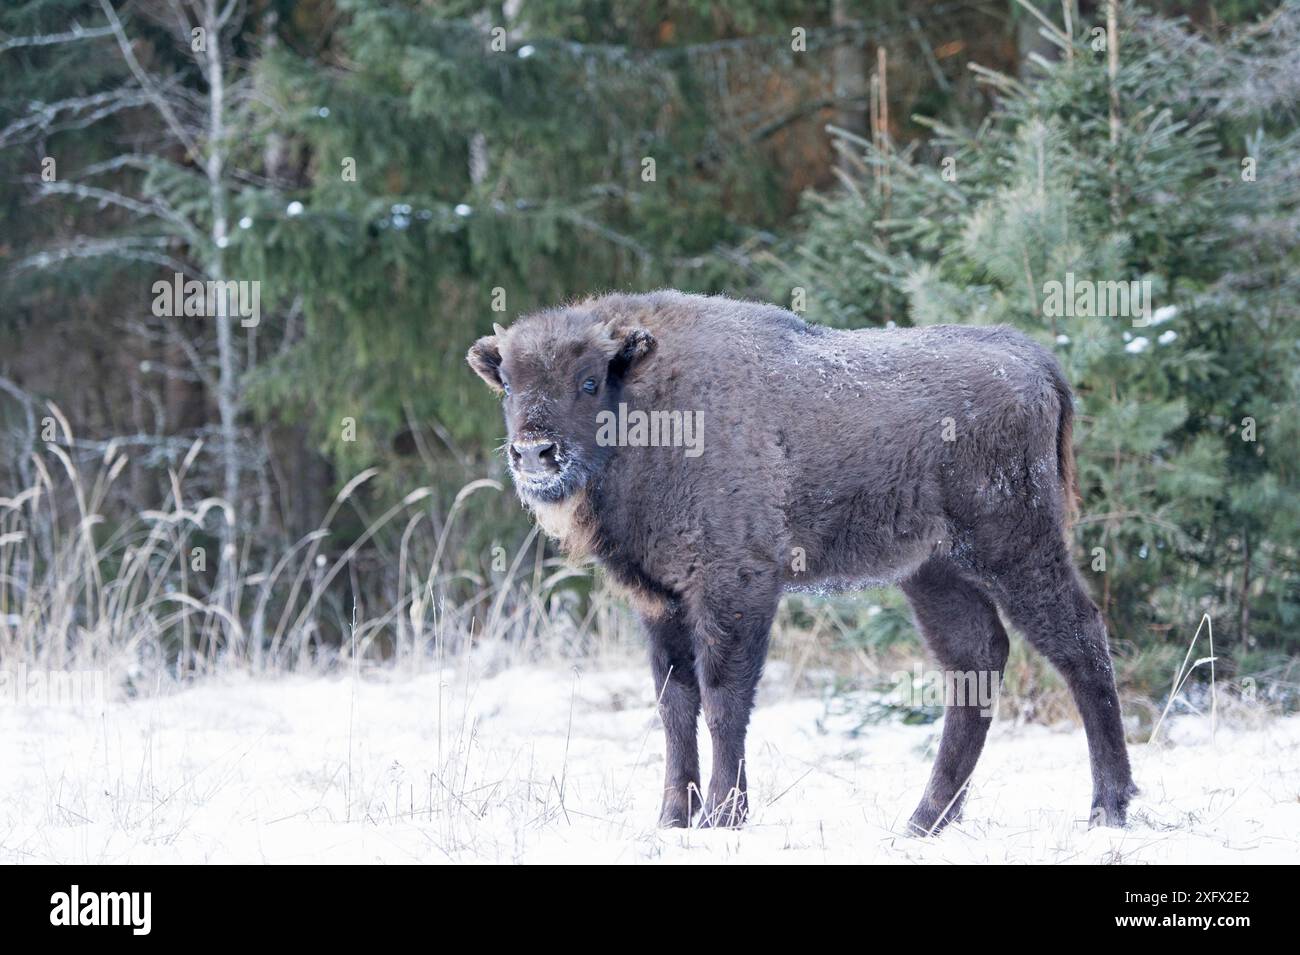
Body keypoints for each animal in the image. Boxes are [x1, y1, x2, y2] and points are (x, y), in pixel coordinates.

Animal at [470, 291, 1138, 836]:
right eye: (509, 383)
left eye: (588, 381)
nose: (535, 452)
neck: (651, 399)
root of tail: (1033, 360)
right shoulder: (659, 599)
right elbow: (675, 705)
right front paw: (673, 819)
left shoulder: (735, 588)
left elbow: (723, 700)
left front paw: (722, 817)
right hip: (933, 572)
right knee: (975, 662)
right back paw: (924, 822)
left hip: (1016, 549)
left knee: (1080, 643)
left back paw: (1108, 807)